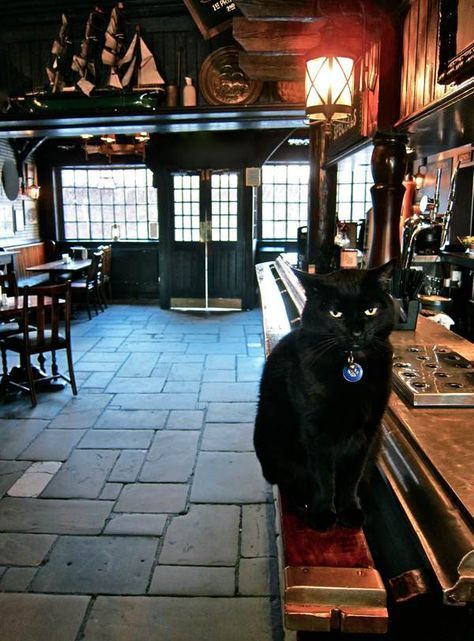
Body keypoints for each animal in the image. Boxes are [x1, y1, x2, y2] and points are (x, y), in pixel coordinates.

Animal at [254, 260, 394, 528]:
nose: (357, 333)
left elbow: (352, 476)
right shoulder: (316, 431)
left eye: (370, 310)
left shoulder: (367, 432)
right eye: (335, 313)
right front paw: (323, 514)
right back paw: (303, 502)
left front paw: (350, 510)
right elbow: (323, 477)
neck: (351, 364)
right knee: (288, 480)